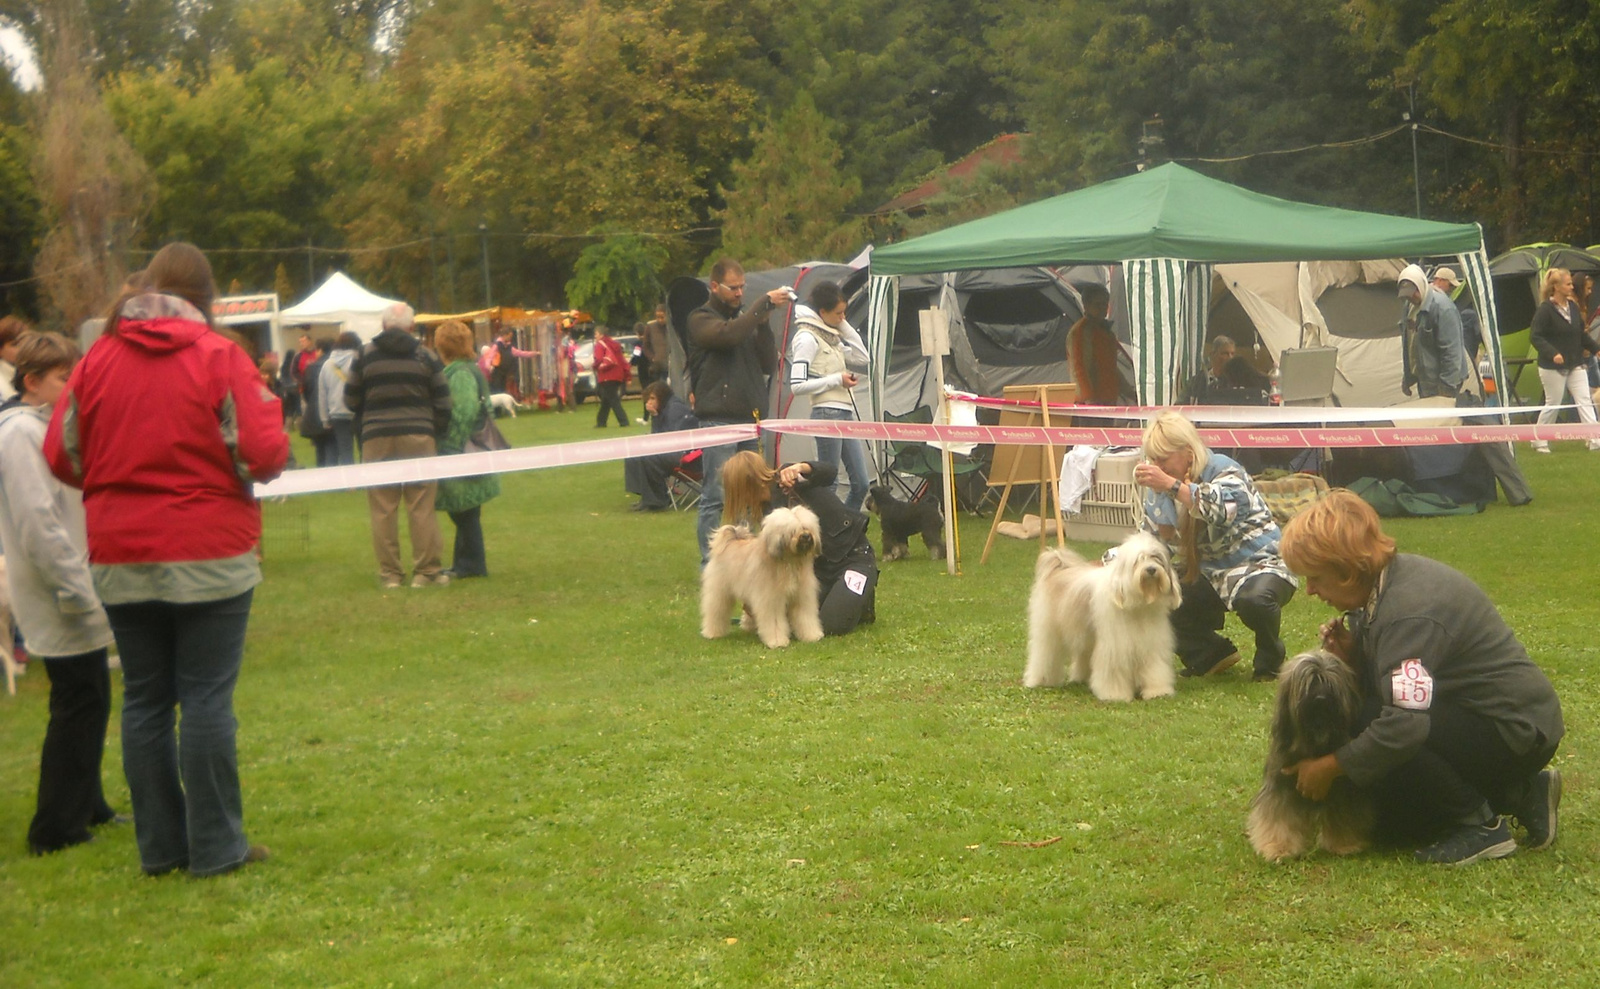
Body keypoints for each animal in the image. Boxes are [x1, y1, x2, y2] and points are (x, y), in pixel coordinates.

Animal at [700, 505, 825, 649]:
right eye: (793, 530)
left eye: (806, 527)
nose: (806, 536)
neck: (789, 561)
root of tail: (730, 541)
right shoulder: (771, 600)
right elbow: (774, 621)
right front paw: (777, 641)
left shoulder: (802, 597)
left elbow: (805, 616)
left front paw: (812, 635)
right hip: (719, 592)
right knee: (715, 611)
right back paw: (712, 632)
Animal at [1017, 528, 1184, 697]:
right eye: (1138, 560)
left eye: (1156, 558)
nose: (1151, 569)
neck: (1138, 604)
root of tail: (1059, 567)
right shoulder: (1115, 646)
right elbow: (1114, 670)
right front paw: (1115, 694)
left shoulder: (1151, 643)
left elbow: (1154, 667)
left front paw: (1157, 691)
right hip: (1048, 632)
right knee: (1045, 654)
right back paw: (1041, 680)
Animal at [1241, 643, 1369, 857]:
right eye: (1310, 682)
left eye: (1329, 682)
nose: (1321, 699)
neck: (1314, 740)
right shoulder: (1280, 784)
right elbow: (1278, 815)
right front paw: (1278, 847)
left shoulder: (1341, 785)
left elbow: (1342, 812)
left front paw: (1343, 843)